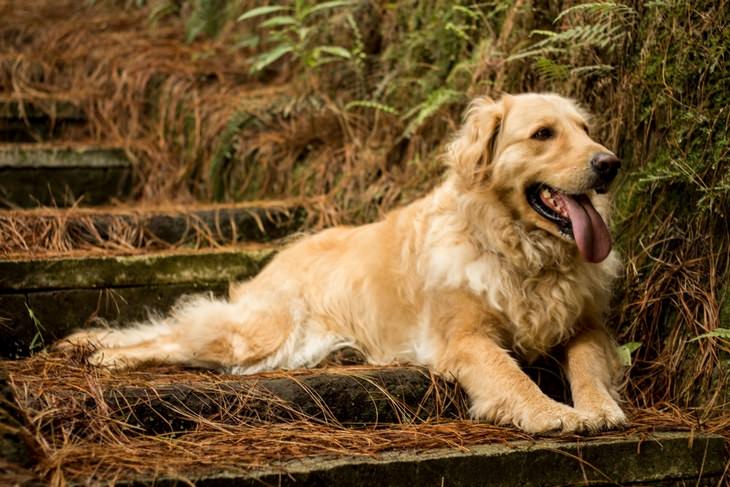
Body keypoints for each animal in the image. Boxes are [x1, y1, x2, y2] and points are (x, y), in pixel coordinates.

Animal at [58, 94, 624, 434]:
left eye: (586, 129)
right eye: (543, 134)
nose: (610, 164)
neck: (521, 252)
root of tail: (284, 252)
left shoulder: (587, 325)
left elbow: (588, 366)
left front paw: (598, 407)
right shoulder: (464, 339)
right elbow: (509, 373)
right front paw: (550, 412)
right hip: (263, 336)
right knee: (174, 333)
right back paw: (104, 357)